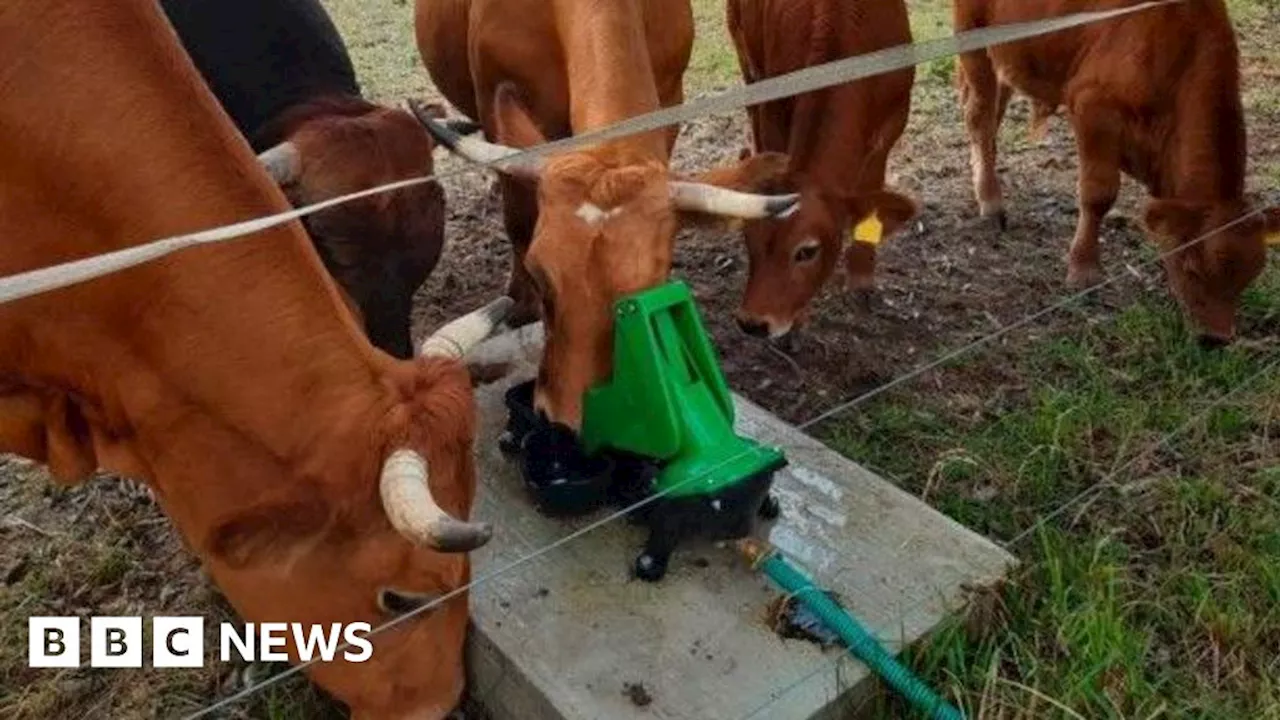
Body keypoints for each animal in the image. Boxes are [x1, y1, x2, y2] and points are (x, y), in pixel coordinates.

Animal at [417, 0, 798, 425]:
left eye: (653, 285)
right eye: (539, 275)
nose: (564, 421)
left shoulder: (670, 97)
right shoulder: (495, 101)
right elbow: (519, 222)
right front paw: (520, 306)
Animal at [727, 0, 926, 338]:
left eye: (807, 251)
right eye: (748, 238)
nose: (752, 323)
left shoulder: (893, 122)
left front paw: (861, 276)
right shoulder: (773, 107)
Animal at [957, 0, 1274, 345]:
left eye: (1249, 277)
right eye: (1192, 267)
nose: (1215, 339)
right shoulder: (1093, 108)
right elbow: (1098, 195)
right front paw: (1084, 269)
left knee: (994, 113)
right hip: (974, 40)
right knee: (980, 116)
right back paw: (990, 201)